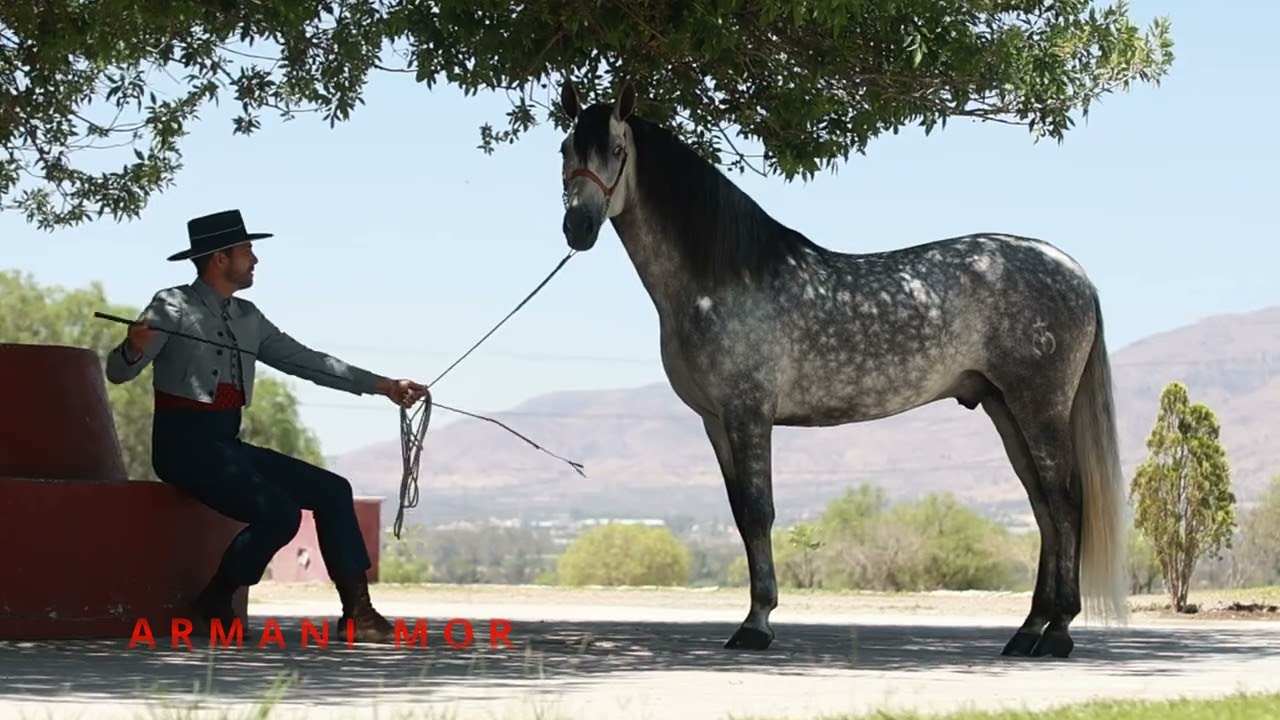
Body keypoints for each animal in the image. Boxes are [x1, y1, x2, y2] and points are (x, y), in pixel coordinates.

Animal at [553, 78, 1130, 659]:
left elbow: (760, 512)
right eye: (564, 151)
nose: (578, 228)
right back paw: (1028, 630)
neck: (720, 280)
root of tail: (1072, 271)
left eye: (618, 151)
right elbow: (741, 515)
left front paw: (756, 624)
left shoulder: (749, 413)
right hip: (1003, 408)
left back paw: (1058, 633)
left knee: (1066, 505)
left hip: (1040, 408)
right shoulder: (715, 421)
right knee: (1043, 510)